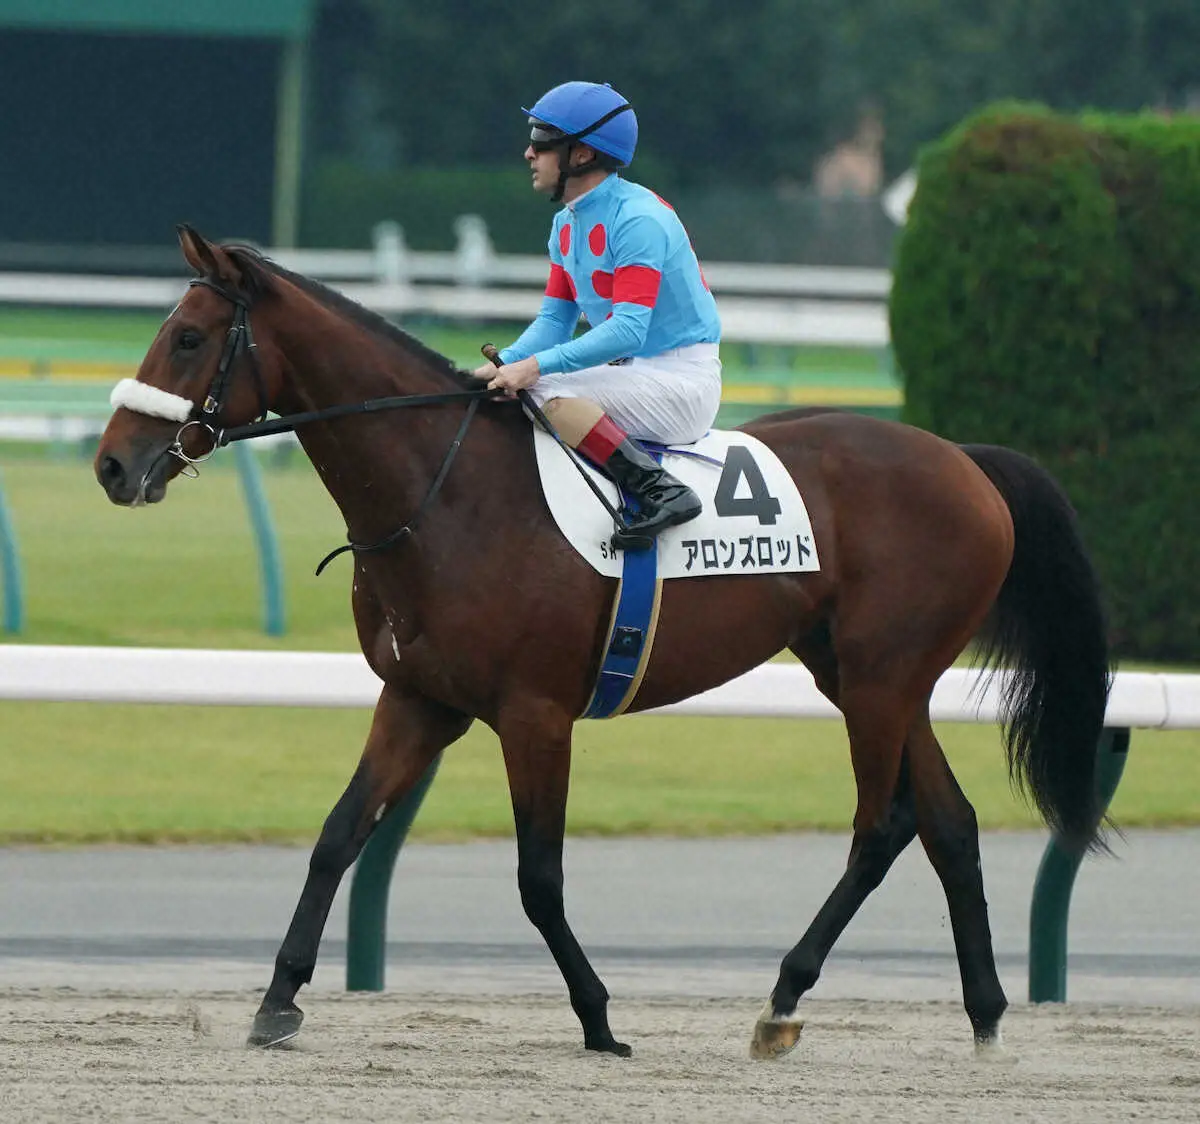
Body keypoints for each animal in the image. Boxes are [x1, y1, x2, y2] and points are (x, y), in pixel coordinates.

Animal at [96, 225, 1113, 1050]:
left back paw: (783, 1001)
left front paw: (598, 1019)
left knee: (882, 826)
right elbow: (338, 835)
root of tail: (966, 460)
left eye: (188, 337)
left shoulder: (535, 713)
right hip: (868, 675)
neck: (448, 493)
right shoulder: (420, 697)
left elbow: (537, 878)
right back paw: (985, 1016)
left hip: (879, 677)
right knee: (948, 823)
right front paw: (278, 1001)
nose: (112, 465)